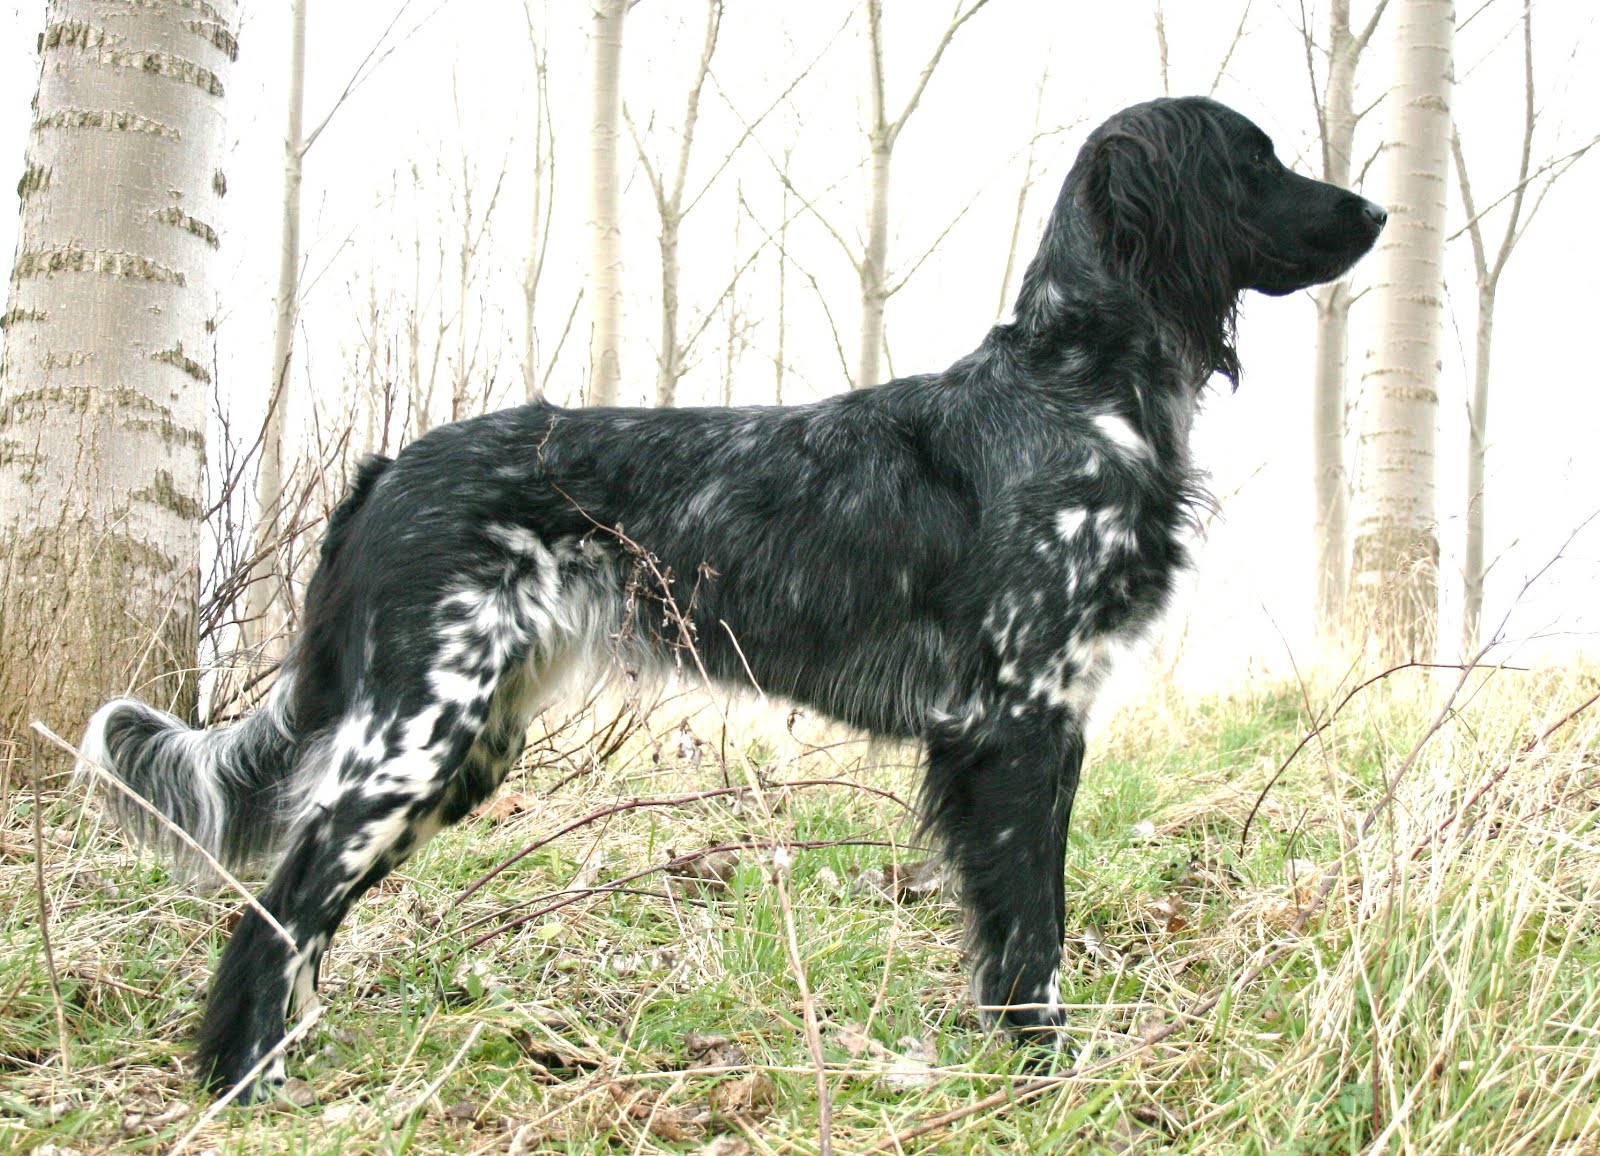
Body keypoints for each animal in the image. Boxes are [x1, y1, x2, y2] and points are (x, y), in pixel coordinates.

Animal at [81, 96, 1388, 1088]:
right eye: (1257, 161)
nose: (1375, 210)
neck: (1077, 386)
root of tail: (394, 463)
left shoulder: (1020, 726)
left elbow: (1007, 932)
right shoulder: (1020, 721)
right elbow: (1034, 933)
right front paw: (1044, 1075)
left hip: (468, 739)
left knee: (300, 909)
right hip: (418, 732)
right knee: (280, 903)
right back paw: (244, 1078)